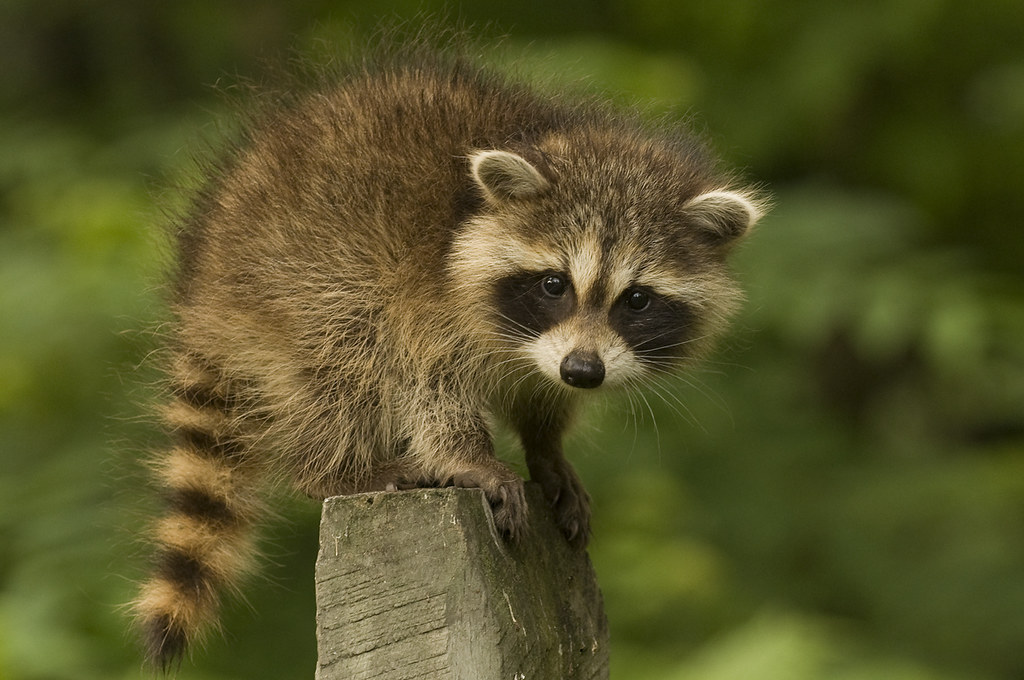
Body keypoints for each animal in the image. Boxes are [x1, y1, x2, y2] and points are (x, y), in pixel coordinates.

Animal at [133, 44, 765, 669]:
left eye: (636, 300)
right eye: (554, 284)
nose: (583, 371)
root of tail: (201, 288)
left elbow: (542, 396)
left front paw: (546, 448)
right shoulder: (423, 293)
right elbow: (424, 381)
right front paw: (470, 457)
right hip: (295, 277)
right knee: (346, 361)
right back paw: (336, 470)